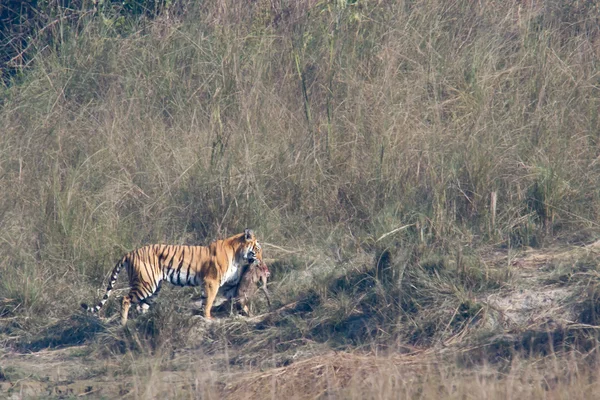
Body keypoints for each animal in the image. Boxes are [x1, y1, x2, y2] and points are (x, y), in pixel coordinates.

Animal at [81, 228, 264, 324]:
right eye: (258, 249)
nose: (262, 261)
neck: (238, 255)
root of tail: (129, 253)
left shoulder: (228, 283)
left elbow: (238, 297)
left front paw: (249, 314)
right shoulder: (211, 281)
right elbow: (209, 301)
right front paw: (208, 317)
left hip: (154, 288)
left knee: (141, 306)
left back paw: (146, 321)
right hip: (146, 284)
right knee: (125, 299)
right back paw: (124, 322)